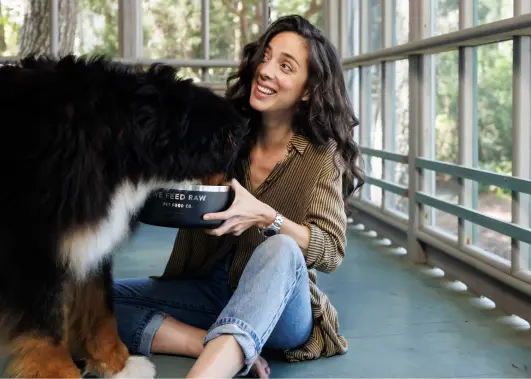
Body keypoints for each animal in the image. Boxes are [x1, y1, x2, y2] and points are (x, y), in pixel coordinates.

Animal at [0, 55, 248, 378]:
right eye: (230, 158)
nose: (233, 184)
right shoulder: (36, 245)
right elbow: (48, 324)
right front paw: (61, 372)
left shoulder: (90, 236)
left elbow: (100, 305)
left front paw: (118, 364)